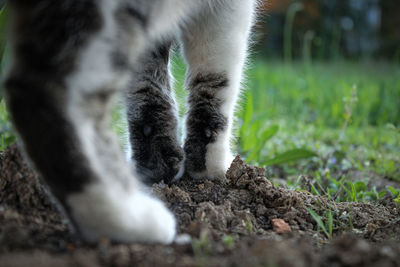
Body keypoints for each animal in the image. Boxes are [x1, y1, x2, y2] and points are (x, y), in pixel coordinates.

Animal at [3, 0, 256, 244]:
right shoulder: (230, 9)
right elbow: (220, 77)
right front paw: (213, 165)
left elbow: (147, 83)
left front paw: (155, 164)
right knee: (46, 90)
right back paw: (123, 218)